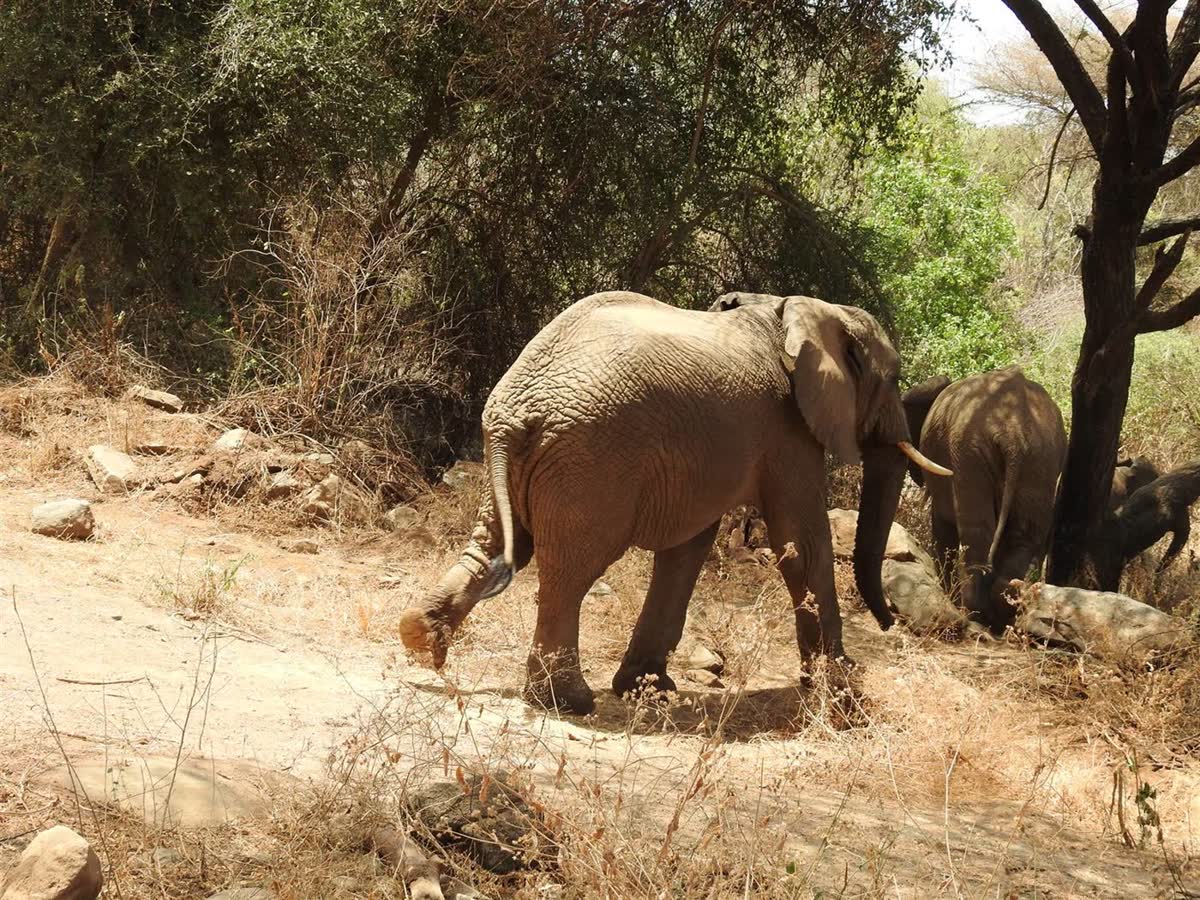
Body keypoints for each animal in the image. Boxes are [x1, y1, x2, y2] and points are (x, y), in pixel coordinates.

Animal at [398, 290, 950, 714]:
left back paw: (420, 638)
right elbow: (801, 542)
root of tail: (516, 408)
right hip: (589, 461)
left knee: (492, 545)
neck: (793, 310)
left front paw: (649, 690)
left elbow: (688, 548)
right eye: (893, 378)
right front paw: (843, 694)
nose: (889, 624)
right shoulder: (786, 431)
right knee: (570, 572)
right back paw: (567, 701)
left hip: (530, 460)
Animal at [901, 366, 1067, 632]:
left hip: (969, 451)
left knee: (978, 531)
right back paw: (1003, 607)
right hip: (1042, 457)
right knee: (1023, 534)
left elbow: (943, 526)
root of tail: (1015, 432)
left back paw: (973, 611)